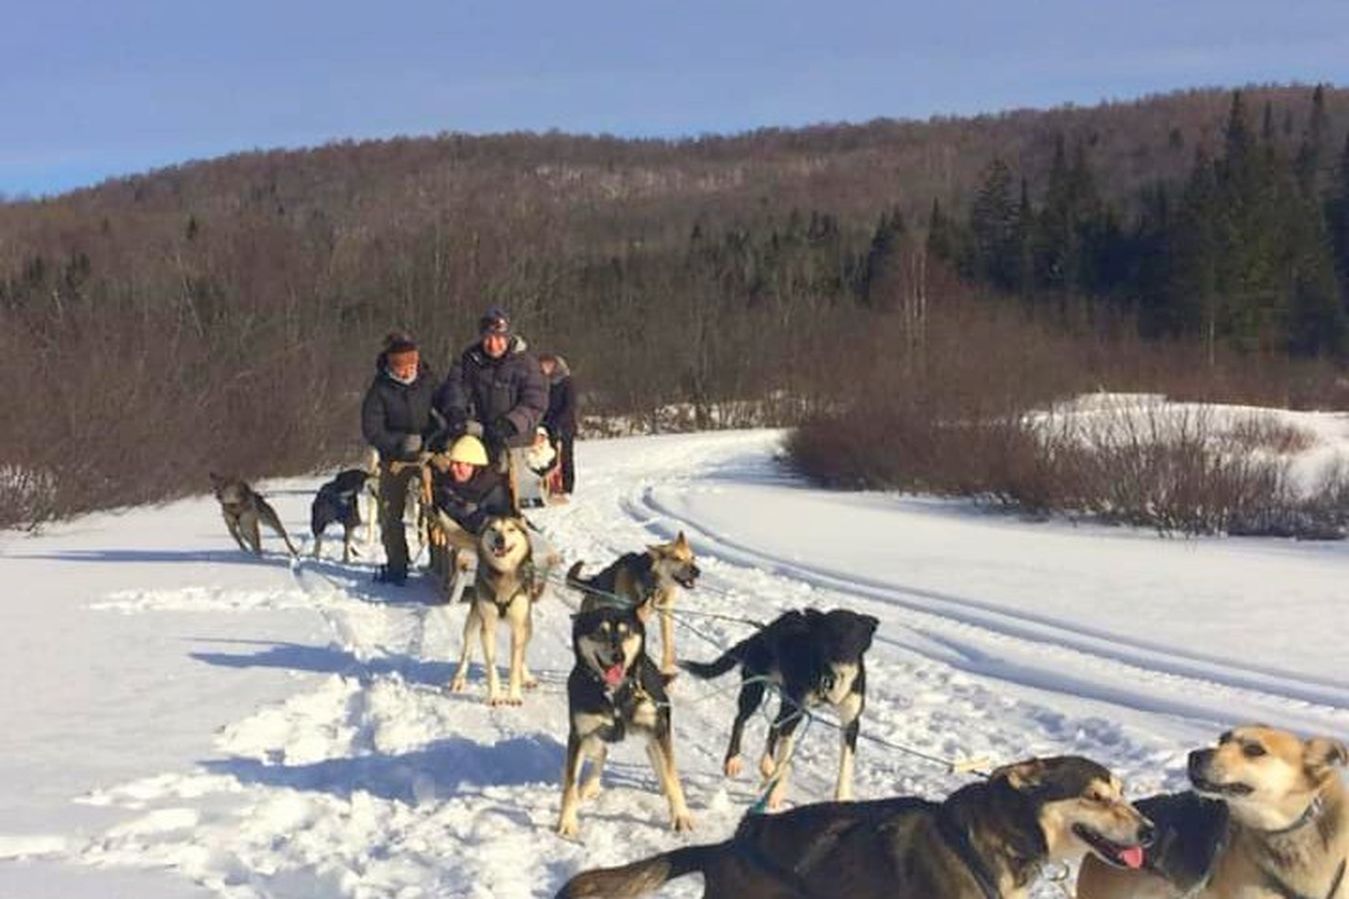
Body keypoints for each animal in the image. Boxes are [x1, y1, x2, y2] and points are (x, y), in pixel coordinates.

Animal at [558, 599, 696, 836]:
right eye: (600, 632)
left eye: (627, 633)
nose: (619, 656)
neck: (615, 694)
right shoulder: (579, 734)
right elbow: (570, 782)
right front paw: (567, 821)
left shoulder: (658, 728)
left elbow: (672, 774)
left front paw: (681, 816)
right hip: (593, 736)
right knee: (602, 752)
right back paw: (590, 787)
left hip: (656, 729)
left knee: (656, 756)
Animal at [566, 529, 701, 669]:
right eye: (677, 558)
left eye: (693, 557)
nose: (697, 571)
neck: (654, 584)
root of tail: (594, 582)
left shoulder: (665, 614)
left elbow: (668, 641)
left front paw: (667, 665)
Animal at [679, 604, 879, 809]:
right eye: (830, 634)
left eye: (854, 637)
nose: (840, 655)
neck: (831, 680)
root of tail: (761, 632)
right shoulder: (796, 711)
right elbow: (785, 760)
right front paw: (776, 791)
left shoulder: (851, 722)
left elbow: (846, 765)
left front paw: (843, 796)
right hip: (755, 691)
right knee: (740, 720)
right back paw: (734, 760)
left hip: (784, 701)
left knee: (774, 725)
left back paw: (767, 764)